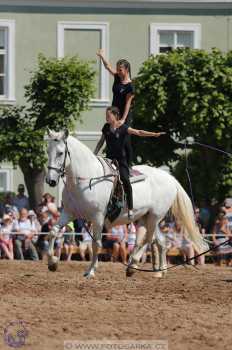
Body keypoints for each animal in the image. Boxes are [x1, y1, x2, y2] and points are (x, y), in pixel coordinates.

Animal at [45, 130, 208, 278]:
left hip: (155, 216)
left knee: (148, 240)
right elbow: (52, 231)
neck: (86, 179)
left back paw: (133, 265)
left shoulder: (97, 218)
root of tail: (170, 178)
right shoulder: (69, 213)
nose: (50, 181)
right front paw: (52, 262)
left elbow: (96, 244)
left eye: (60, 153)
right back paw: (159, 271)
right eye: (48, 151)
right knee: (159, 241)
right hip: (147, 218)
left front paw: (90, 271)